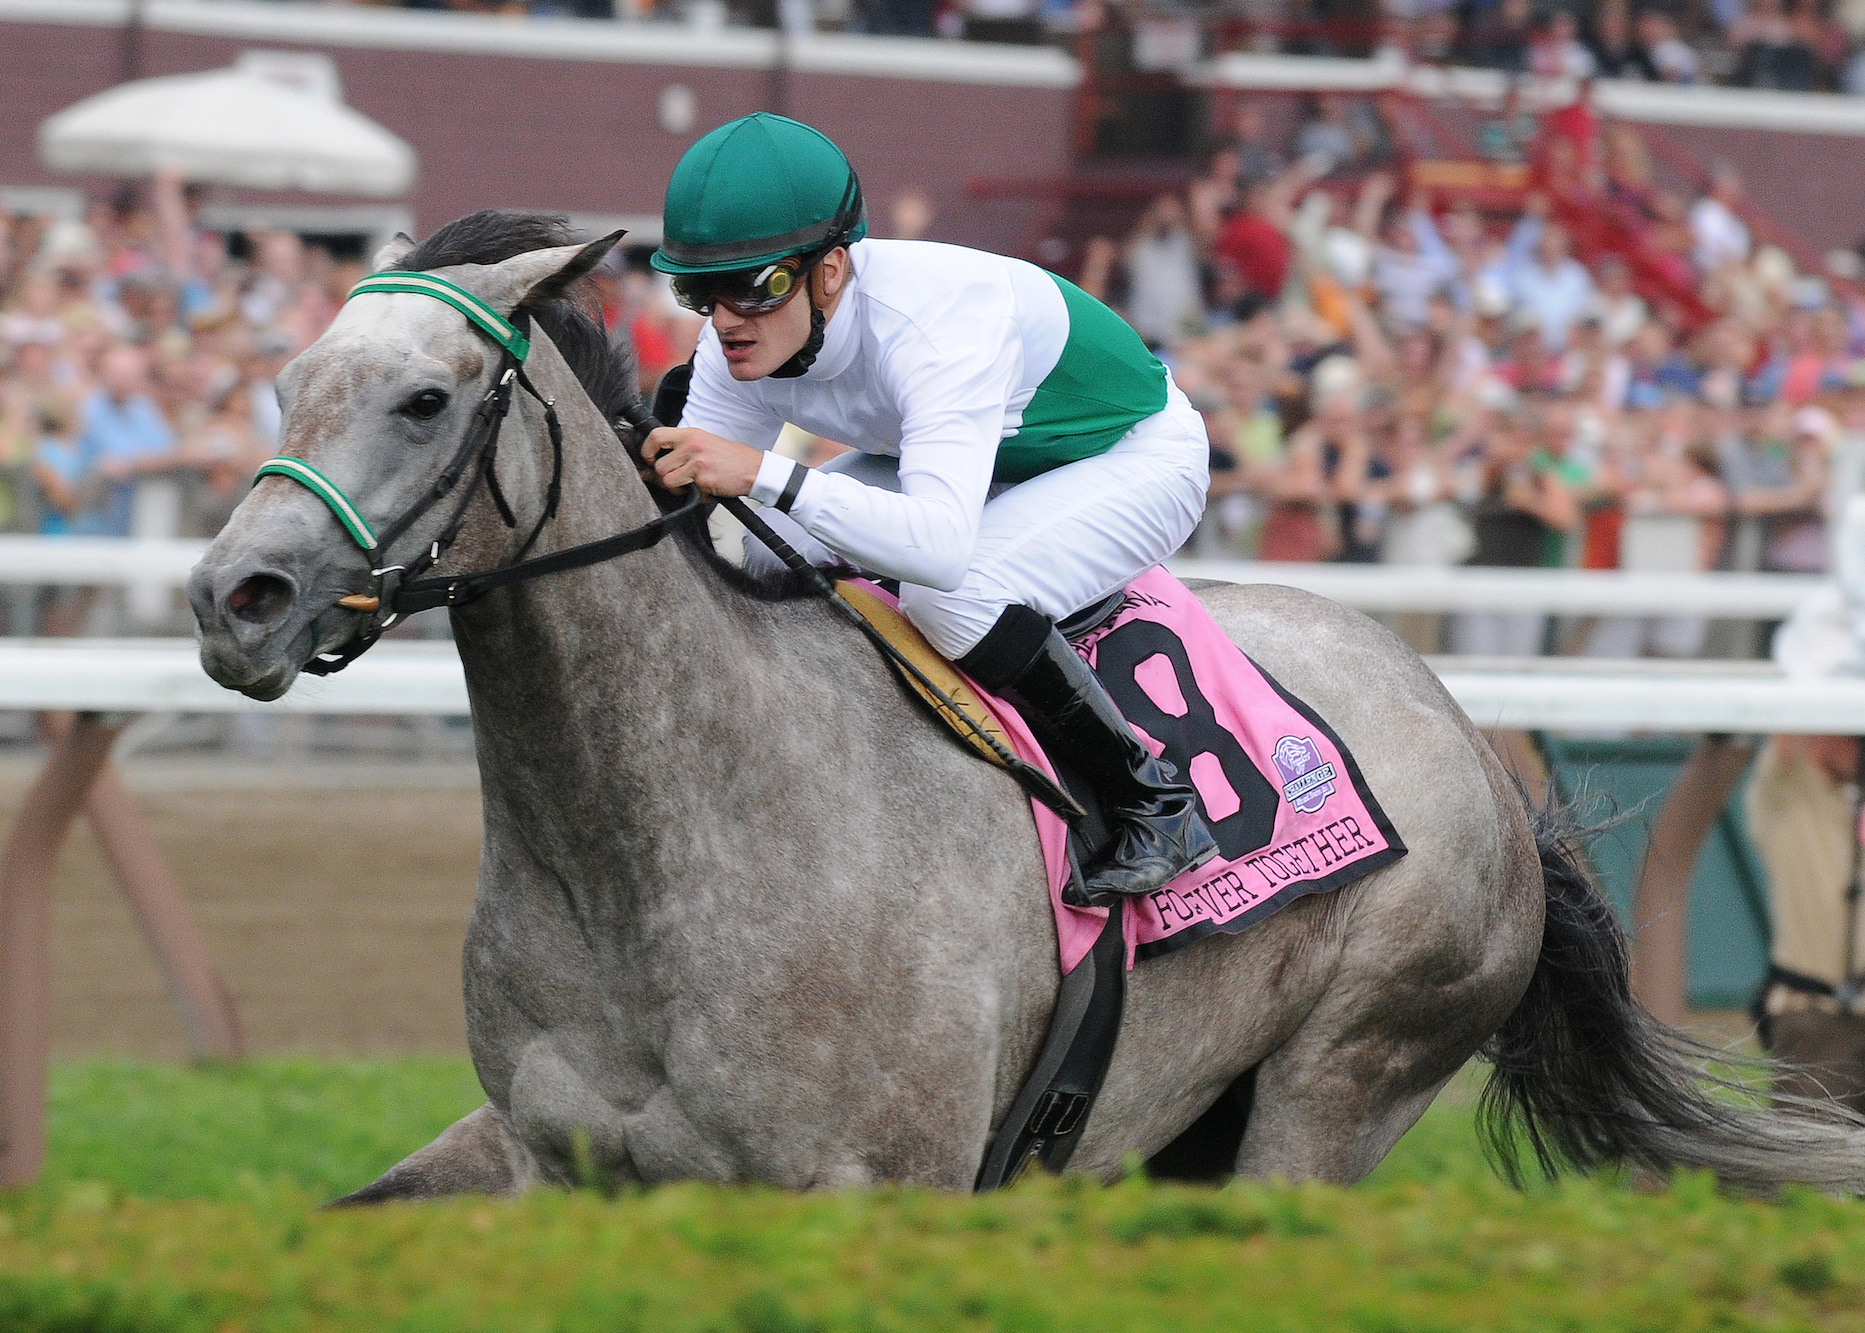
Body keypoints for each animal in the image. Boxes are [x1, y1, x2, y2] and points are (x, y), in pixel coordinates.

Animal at [189, 216, 1865, 1200]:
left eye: (424, 399)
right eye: (285, 380)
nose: (233, 598)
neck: (649, 844)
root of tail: (1465, 737)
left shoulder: (880, 1183)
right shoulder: (550, 1161)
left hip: (1337, 1085)